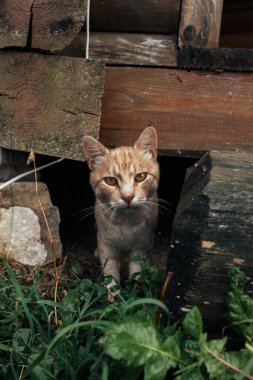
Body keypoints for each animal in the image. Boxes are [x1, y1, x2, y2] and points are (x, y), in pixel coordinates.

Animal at [83, 126, 159, 296]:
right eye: (110, 181)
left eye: (140, 177)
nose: (128, 197)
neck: (126, 222)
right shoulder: (107, 245)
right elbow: (111, 274)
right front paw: (114, 296)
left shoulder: (141, 246)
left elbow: (137, 272)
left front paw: (135, 293)